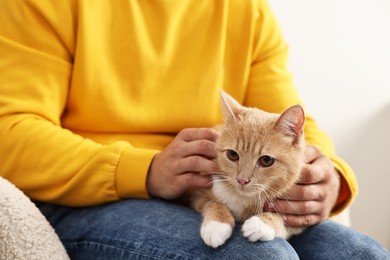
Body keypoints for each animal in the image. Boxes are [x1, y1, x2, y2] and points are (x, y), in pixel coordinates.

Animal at [190, 91, 306, 248]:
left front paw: (261, 224)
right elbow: (212, 202)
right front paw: (217, 225)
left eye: (266, 160)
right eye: (232, 155)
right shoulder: (195, 193)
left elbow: (283, 219)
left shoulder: (300, 218)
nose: (242, 180)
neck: (243, 198)